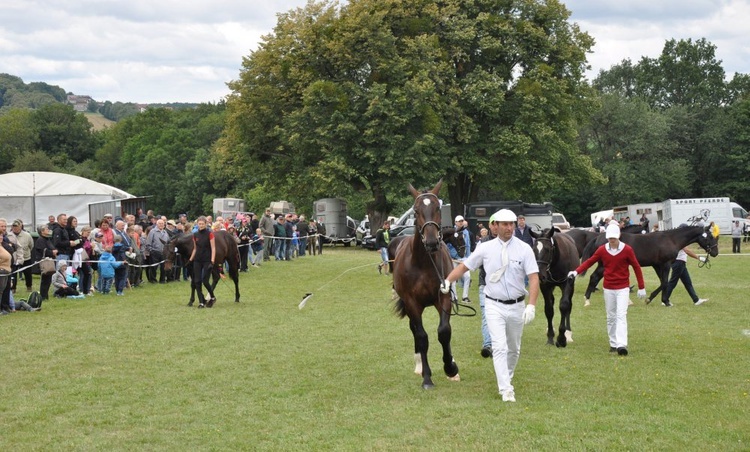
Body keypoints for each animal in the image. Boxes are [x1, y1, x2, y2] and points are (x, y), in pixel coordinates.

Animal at [390, 180, 462, 388]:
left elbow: (444, 331)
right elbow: (422, 337)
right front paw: (427, 377)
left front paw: (451, 367)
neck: (423, 262)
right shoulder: (412, 303)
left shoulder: (443, 297)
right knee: (415, 331)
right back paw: (419, 366)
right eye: (415, 210)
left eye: (438, 207)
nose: (431, 242)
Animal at [580, 228, 720, 306]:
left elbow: (663, 282)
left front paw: (665, 301)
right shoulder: (665, 264)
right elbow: (665, 283)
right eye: (710, 237)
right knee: (594, 277)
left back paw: (587, 299)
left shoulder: (657, 265)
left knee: (594, 277)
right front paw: (650, 299)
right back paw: (587, 300)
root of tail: (598, 237)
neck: (671, 239)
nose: (715, 252)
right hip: (604, 265)